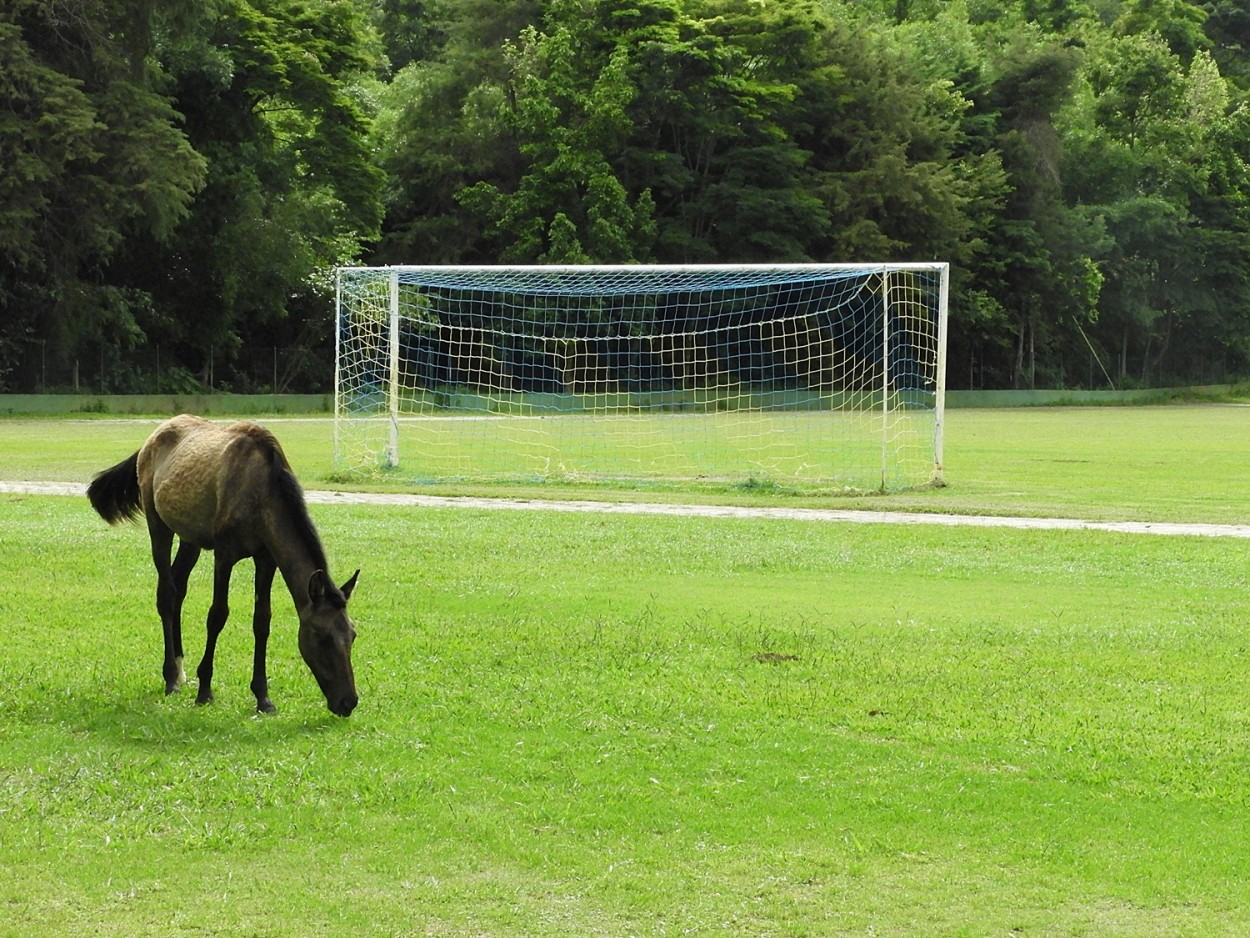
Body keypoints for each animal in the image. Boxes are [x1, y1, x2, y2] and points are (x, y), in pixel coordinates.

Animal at [85, 415, 360, 715]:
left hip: (190, 539)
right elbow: (217, 616)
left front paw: (263, 696)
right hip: (158, 525)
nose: (348, 701)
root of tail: (152, 437)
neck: (262, 494)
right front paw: (205, 689)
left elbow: (262, 621)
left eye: (353, 634)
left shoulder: (266, 559)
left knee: (179, 588)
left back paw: (181, 669)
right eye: (322, 637)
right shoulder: (224, 554)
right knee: (166, 594)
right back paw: (171, 677)